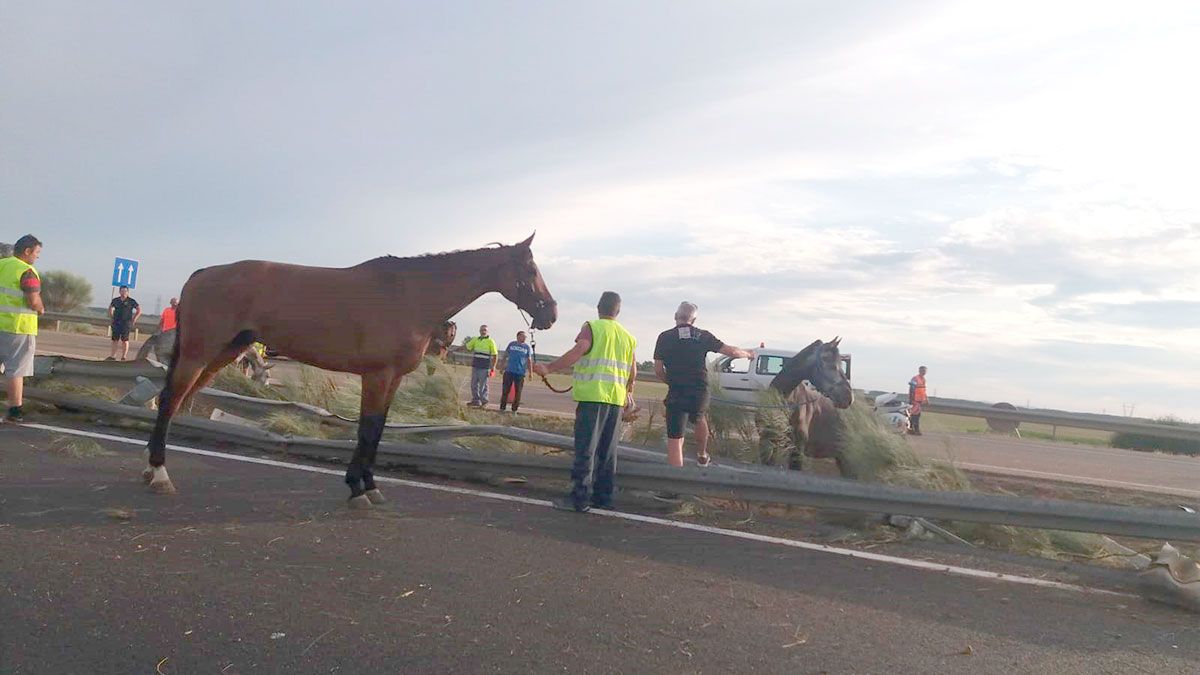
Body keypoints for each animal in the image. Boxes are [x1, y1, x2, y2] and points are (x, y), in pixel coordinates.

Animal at [145, 235, 556, 504]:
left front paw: (368, 485)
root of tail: (202, 274)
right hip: (200, 352)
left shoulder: (392, 378)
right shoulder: (377, 375)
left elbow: (376, 430)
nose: (550, 313)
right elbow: (368, 429)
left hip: (224, 353)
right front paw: (359, 488)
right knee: (169, 399)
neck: (410, 295)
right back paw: (159, 472)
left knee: (178, 397)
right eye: (530, 267)